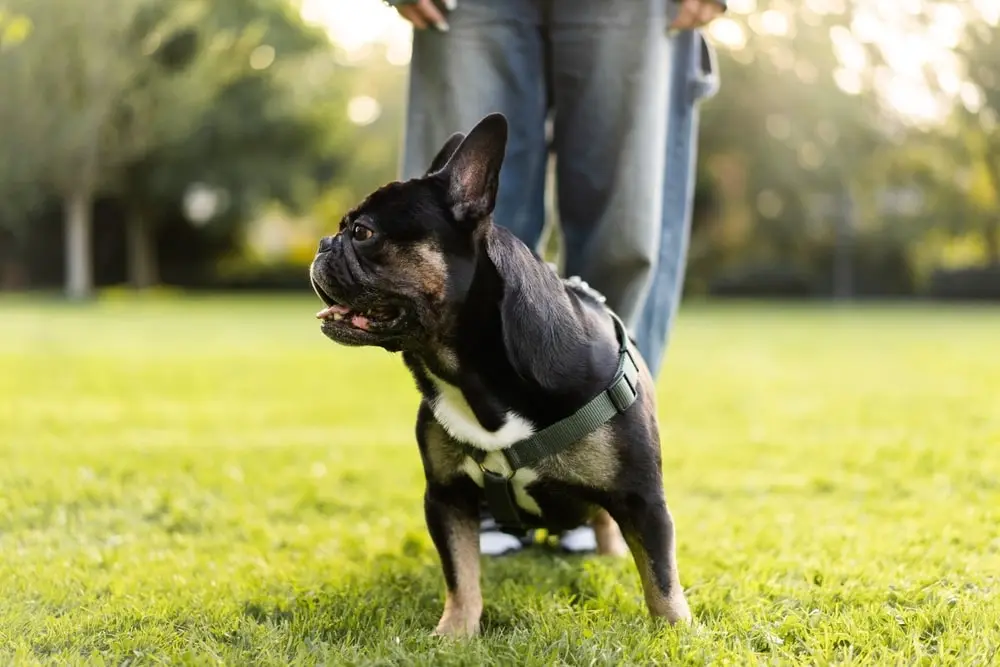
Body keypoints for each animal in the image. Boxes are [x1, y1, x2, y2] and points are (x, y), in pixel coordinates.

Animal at [308, 113, 692, 636]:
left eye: (363, 232)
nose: (324, 243)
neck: (471, 375)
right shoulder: (447, 497)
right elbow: (460, 571)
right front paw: (455, 632)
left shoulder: (643, 499)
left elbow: (660, 576)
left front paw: (676, 632)